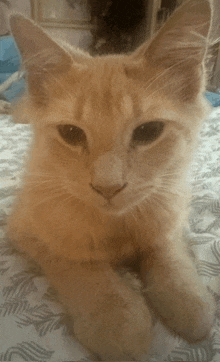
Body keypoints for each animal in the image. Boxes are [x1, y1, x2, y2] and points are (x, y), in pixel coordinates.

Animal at [6, 0, 217, 360]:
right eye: (71, 133)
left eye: (149, 132)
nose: (108, 187)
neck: (117, 226)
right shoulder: (26, 229)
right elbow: (82, 268)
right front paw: (117, 318)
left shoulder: (170, 212)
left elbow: (169, 255)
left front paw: (189, 299)